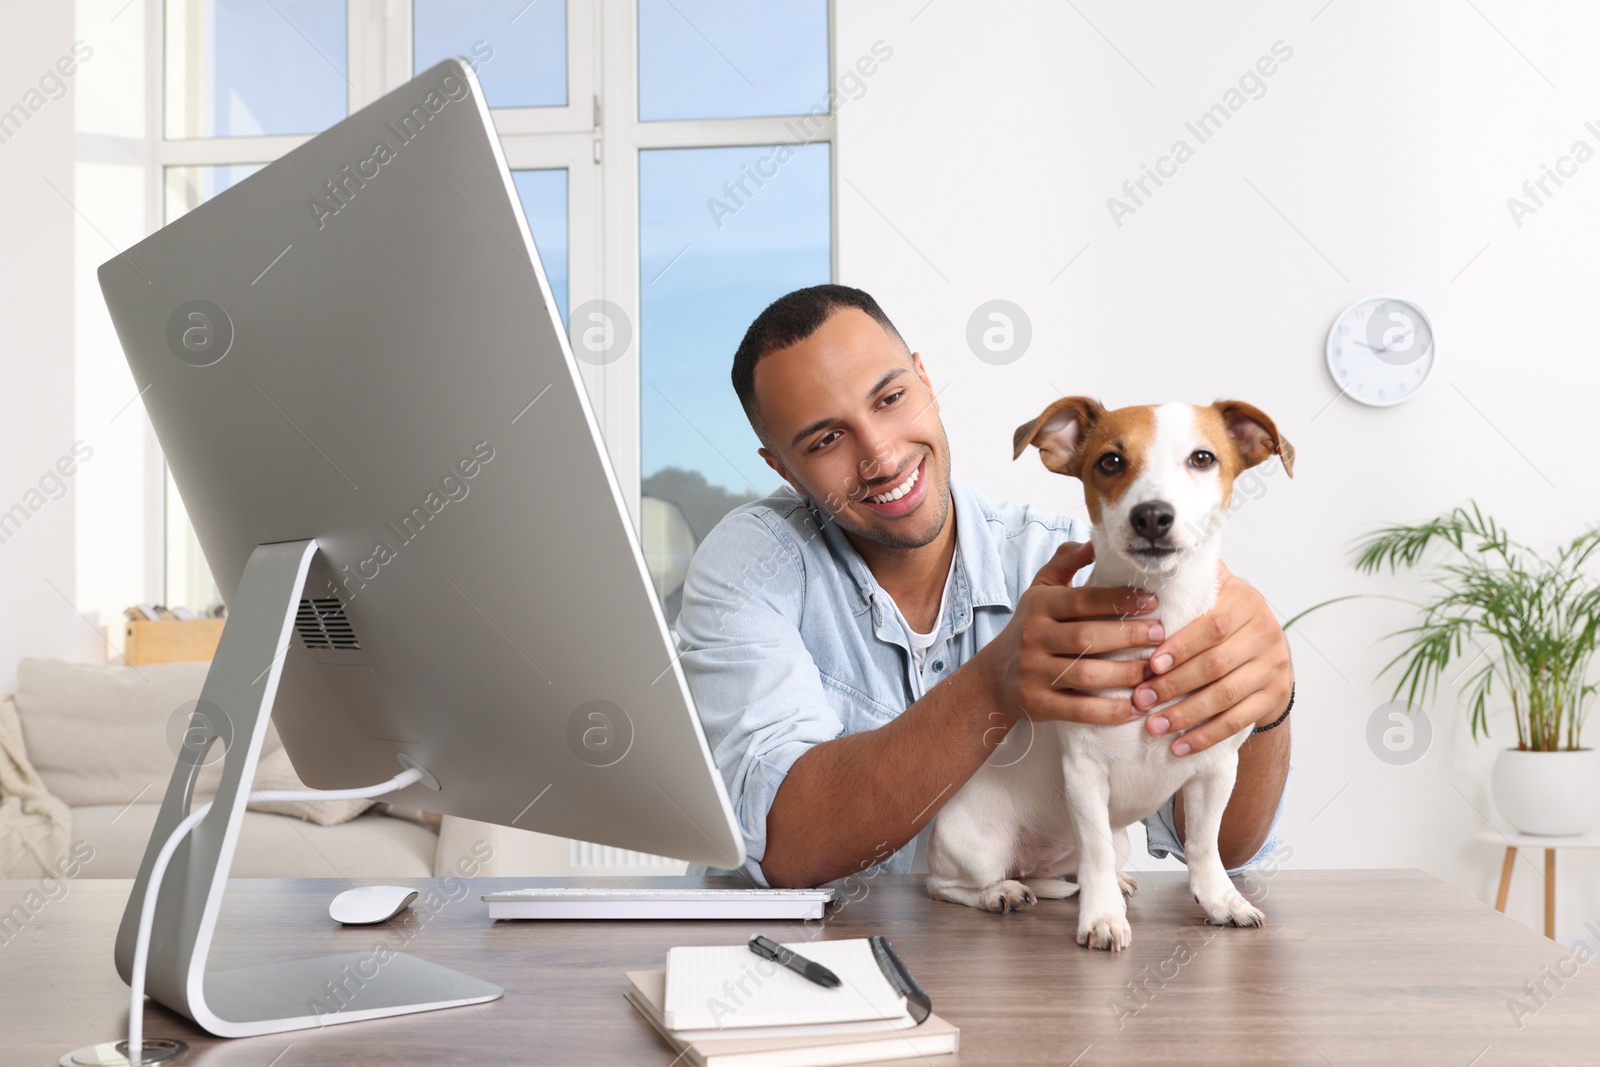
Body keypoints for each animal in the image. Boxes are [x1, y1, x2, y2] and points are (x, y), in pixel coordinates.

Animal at [934, 396, 1292, 947]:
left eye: (1203, 458)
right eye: (1111, 461)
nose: (1152, 516)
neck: (1161, 608)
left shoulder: (1215, 767)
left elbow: (1204, 845)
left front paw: (1222, 901)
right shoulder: (1084, 772)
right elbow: (1095, 848)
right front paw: (1102, 918)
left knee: (1070, 870)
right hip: (975, 846)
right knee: (948, 885)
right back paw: (1001, 892)